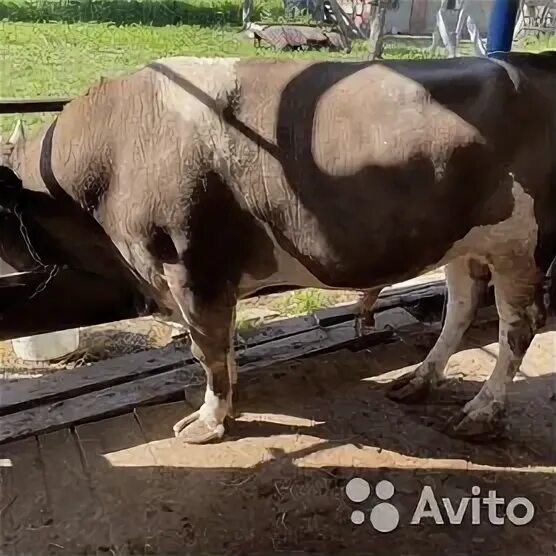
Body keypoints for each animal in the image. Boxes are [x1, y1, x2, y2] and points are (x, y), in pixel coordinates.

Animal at [0, 52, 552, 444]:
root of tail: (529, 60)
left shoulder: (191, 268)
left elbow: (207, 349)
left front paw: (209, 419)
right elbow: (222, 343)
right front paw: (224, 401)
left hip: (522, 245)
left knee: (519, 326)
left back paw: (482, 411)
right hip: (461, 240)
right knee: (461, 304)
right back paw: (420, 380)